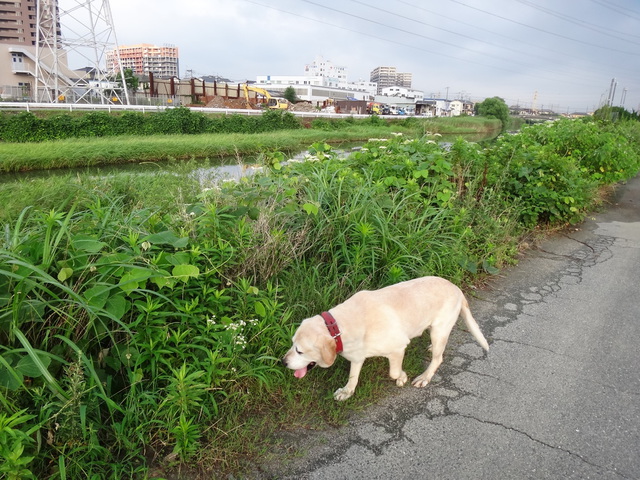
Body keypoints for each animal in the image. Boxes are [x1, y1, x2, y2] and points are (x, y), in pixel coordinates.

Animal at [282, 276, 488, 400]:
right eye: (292, 344)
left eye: (299, 350)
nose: (282, 362)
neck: (339, 327)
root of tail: (457, 289)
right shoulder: (357, 357)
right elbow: (353, 377)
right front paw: (347, 392)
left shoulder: (398, 349)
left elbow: (394, 372)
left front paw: (402, 377)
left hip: (439, 331)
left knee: (438, 359)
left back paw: (424, 377)